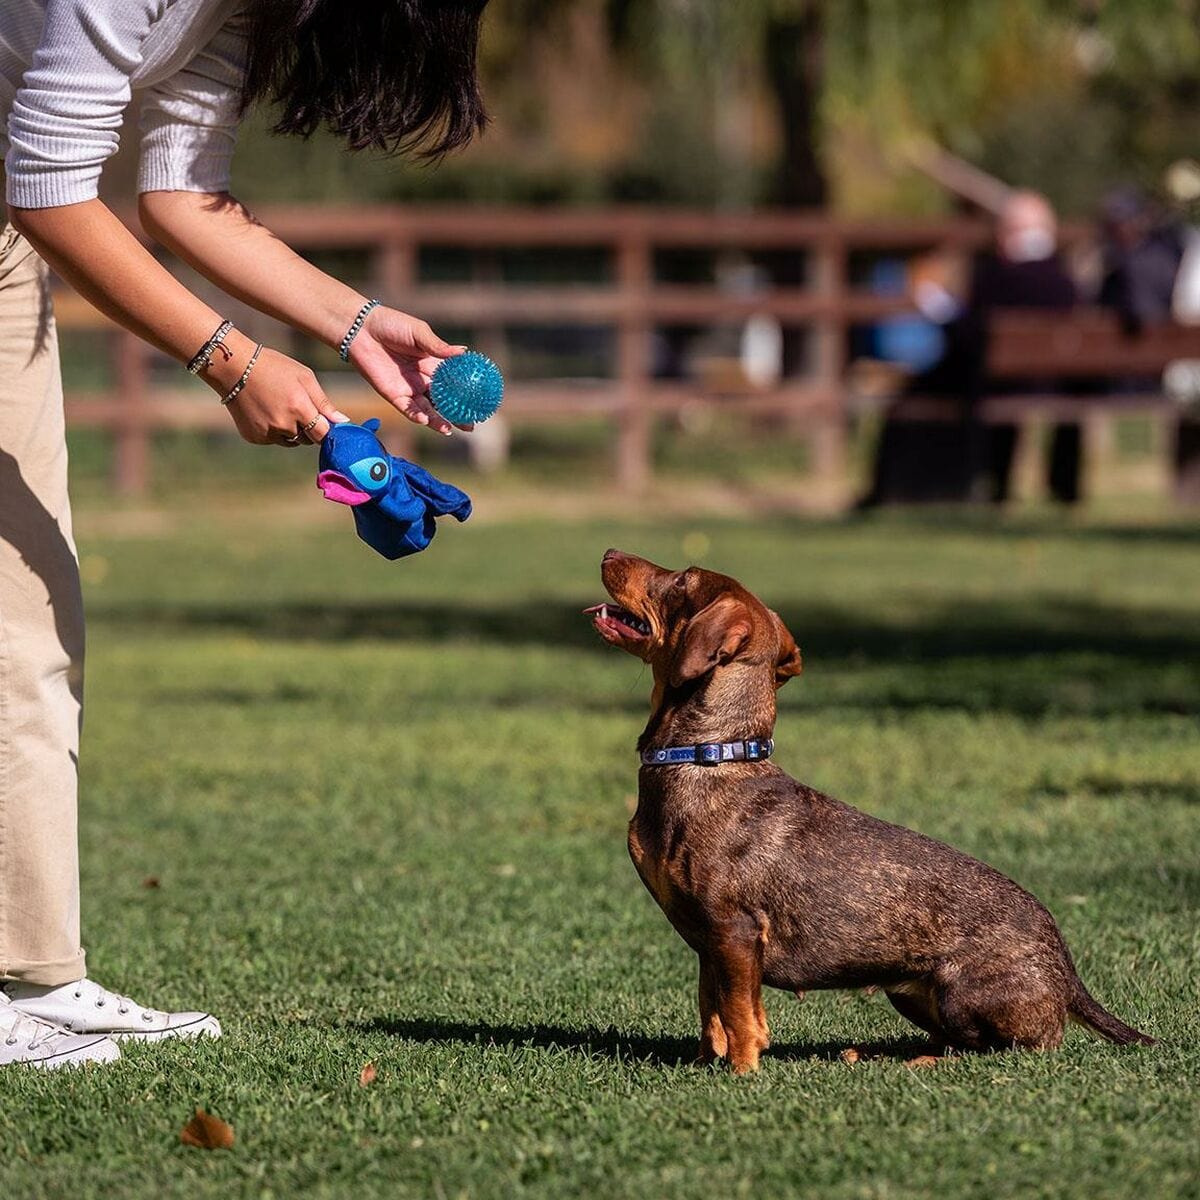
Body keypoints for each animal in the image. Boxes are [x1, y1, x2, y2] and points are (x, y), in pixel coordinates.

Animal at [590, 549, 1152, 1075]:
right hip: (907, 992)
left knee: (1002, 1048)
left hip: (962, 995)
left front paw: (742, 1074)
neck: (709, 756)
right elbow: (712, 1013)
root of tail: (1064, 966)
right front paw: (707, 1065)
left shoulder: (735, 932)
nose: (610, 553)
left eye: (683, 580)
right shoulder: (710, 946)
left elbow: (739, 1016)